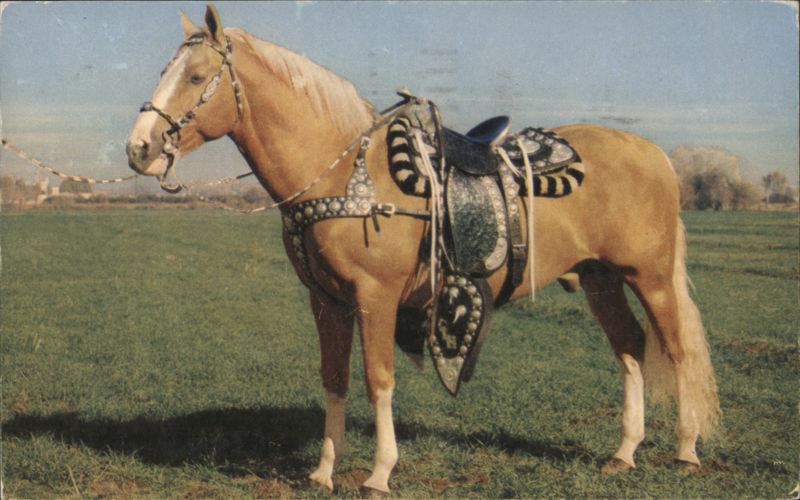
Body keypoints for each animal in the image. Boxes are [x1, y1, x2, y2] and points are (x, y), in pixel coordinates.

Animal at [126, 4, 719, 494]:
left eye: (196, 77)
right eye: (165, 74)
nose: (140, 149)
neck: (345, 174)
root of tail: (655, 154)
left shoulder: (376, 298)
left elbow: (378, 379)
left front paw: (379, 474)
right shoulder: (327, 301)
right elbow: (334, 378)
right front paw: (323, 471)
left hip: (650, 277)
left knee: (678, 351)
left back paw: (686, 452)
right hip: (601, 278)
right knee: (630, 348)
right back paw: (624, 453)